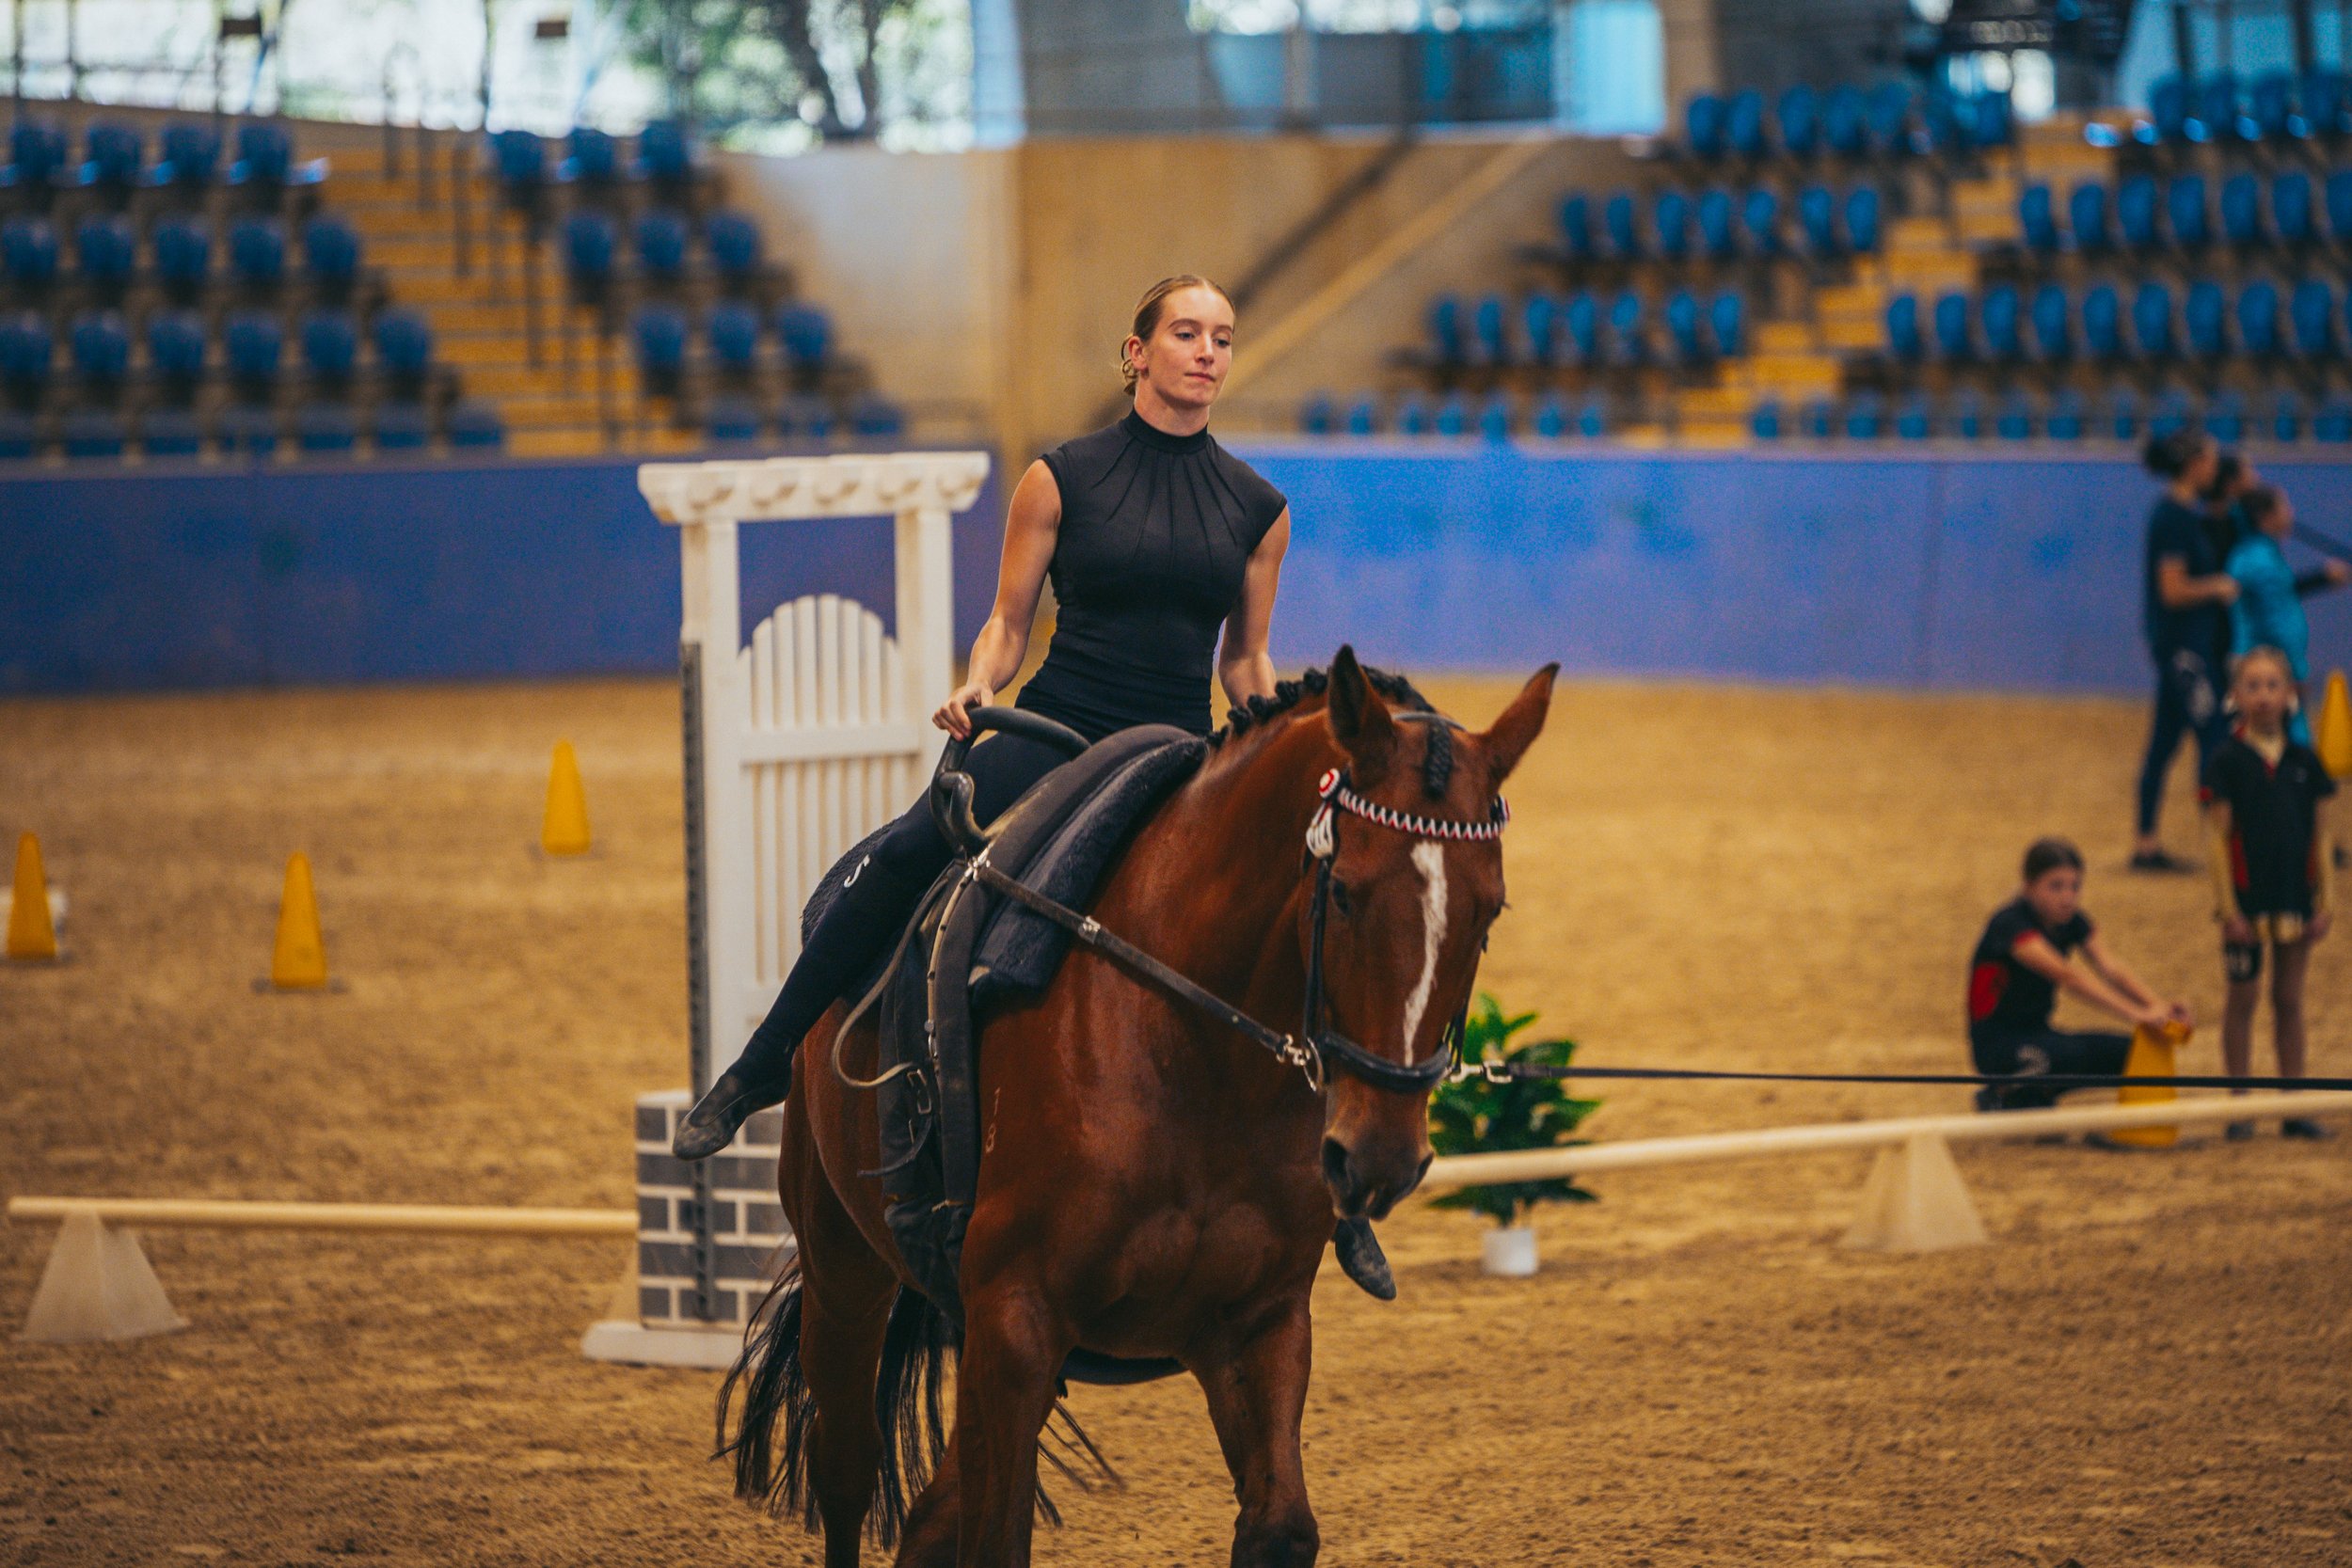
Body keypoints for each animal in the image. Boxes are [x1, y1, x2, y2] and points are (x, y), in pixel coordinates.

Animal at [720, 645, 1557, 1567]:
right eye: (1343, 892)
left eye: (1489, 911)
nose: (1381, 1157)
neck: (1194, 1056)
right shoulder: (1015, 1322)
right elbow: (995, 1536)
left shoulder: (1255, 1323)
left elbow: (1280, 1525)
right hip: (844, 1265)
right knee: (846, 1467)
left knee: (929, 1517)